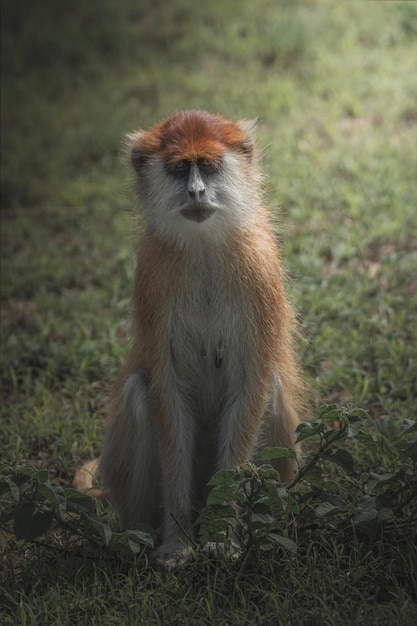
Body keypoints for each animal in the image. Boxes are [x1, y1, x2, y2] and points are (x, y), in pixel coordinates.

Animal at [75, 108, 304, 564]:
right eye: (181, 169)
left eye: (209, 166)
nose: (197, 191)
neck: (203, 245)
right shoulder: (155, 274)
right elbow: (165, 389)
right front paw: (178, 542)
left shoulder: (258, 269)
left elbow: (252, 385)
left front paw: (220, 536)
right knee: (139, 392)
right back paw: (138, 535)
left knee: (269, 389)